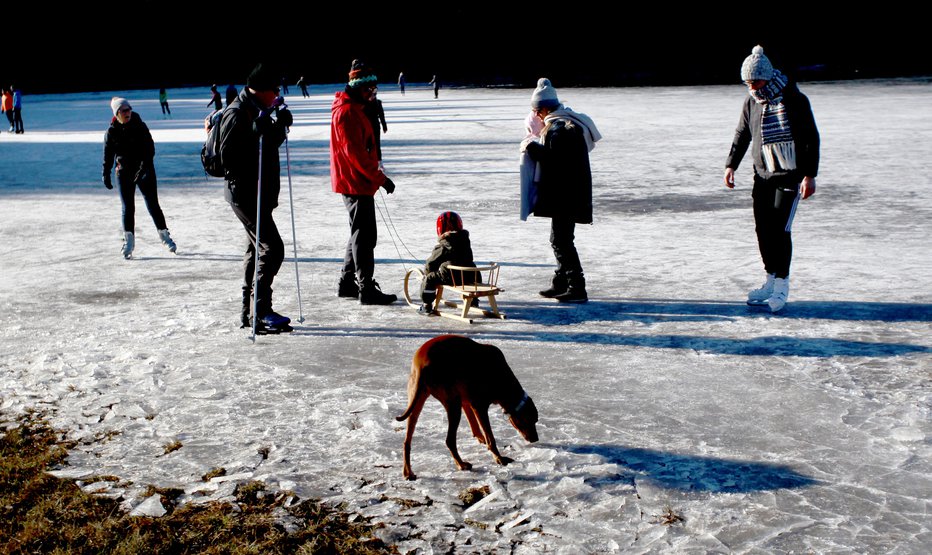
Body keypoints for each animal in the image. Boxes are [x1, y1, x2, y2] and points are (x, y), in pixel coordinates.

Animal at [394, 334, 540, 482]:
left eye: (535, 421)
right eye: (530, 420)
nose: (536, 439)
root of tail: (422, 365)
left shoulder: (467, 402)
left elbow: (475, 427)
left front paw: (481, 439)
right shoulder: (479, 406)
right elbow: (490, 438)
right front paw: (498, 458)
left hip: (416, 401)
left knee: (407, 441)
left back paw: (408, 472)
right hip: (453, 404)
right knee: (449, 440)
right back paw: (461, 464)